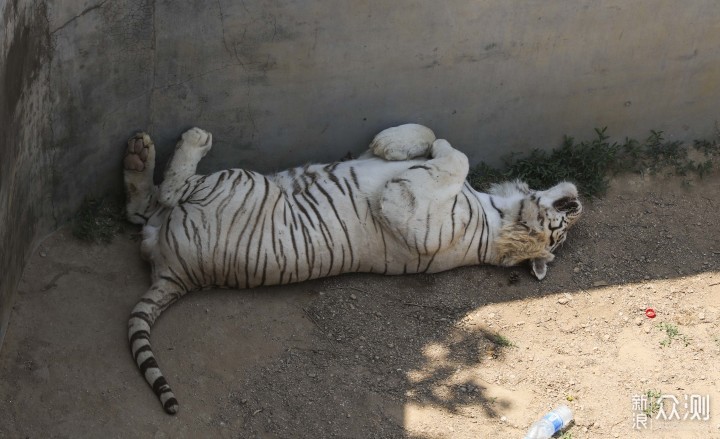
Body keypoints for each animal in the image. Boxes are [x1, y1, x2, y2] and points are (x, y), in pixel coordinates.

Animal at [125, 124, 580, 416]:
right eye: (566, 224)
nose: (578, 202)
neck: (496, 213)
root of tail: (178, 272)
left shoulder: (410, 211)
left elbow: (458, 157)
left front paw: (427, 147)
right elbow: (429, 135)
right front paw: (395, 144)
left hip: (229, 186)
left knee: (170, 192)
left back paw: (186, 142)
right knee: (140, 208)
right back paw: (138, 153)